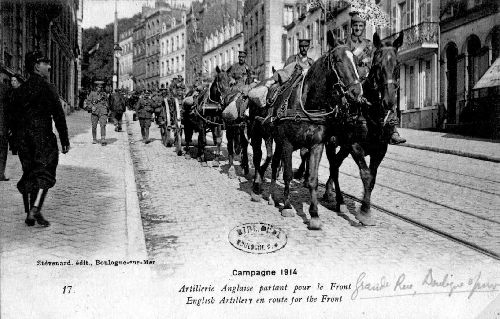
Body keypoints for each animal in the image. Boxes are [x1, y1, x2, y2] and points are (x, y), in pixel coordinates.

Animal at [250, 30, 364, 230]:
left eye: (357, 62)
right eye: (337, 59)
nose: (357, 93)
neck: (308, 104)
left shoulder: (317, 145)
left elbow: (312, 179)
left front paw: (314, 215)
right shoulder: (288, 143)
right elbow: (288, 174)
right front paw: (288, 206)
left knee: (274, 163)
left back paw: (272, 196)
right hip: (258, 134)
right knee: (259, 158)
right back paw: (257, 188)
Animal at [320, 31, 406, 228]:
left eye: (397, 65)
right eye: (377, 65)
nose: (389, 101)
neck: (371, 111)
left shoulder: (380, 149)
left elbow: (372, 178)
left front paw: (366, 208)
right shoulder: (355, 146)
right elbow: (366, 175)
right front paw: (365, 213)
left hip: (343, 147)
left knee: (336, 164)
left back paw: (330, 192)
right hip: (333, 143)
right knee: (334, 166)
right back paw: (339, 201)